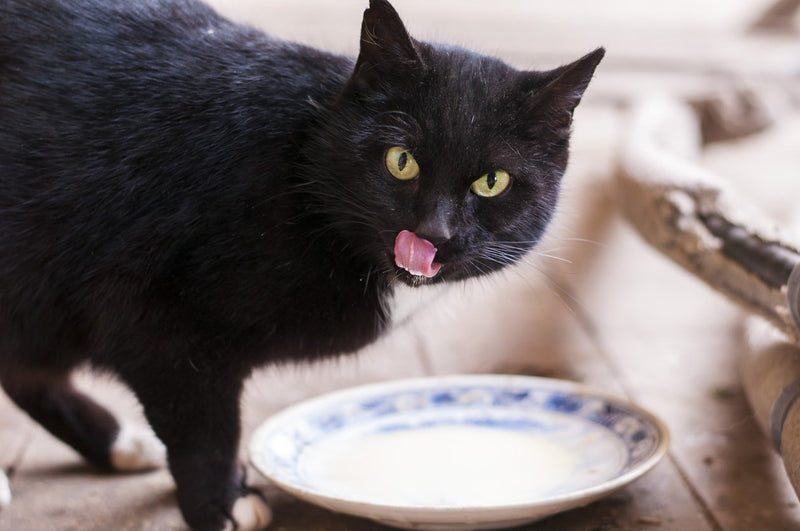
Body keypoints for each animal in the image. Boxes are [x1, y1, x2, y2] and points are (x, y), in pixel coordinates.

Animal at [0, 0, 604, 528]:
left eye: (492, 182)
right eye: (401, 161)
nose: (433, 234)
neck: (299, 166)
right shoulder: (152, 315)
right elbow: (202, 427)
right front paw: (220, 505)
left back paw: (117, 443)